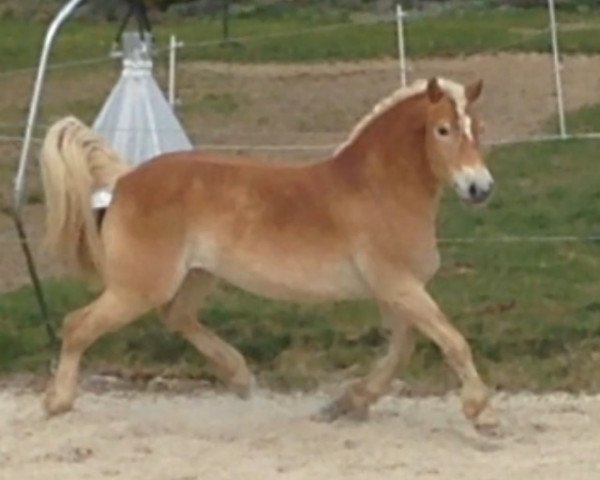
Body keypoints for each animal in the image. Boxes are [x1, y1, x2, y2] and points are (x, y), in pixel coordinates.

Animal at [38, 78, 496, 432]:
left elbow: (402, 350)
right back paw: (57, 402)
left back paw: (240, 377)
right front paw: (479, 411)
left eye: (478, 127)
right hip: (139, 287)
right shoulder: (398, 285)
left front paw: (345, 404)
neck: (378, 189)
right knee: (77, 325)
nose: (480, 188)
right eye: (443, 129)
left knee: (177, 316)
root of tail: (126, 179)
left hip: (196, 275)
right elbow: (453, 342)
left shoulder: (393, 292)